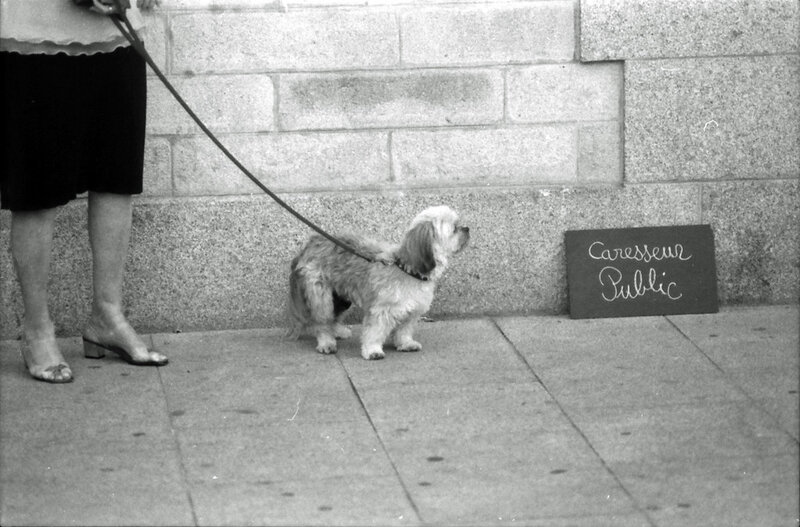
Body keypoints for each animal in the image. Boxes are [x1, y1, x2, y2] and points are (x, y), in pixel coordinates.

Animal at [290, 205, 468, 358]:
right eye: (454, 228)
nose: (467, 228)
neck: (407, 269)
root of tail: (311, 242)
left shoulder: (411, 311)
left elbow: (404, 330)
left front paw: (405, 343)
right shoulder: (381, 310)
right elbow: (374, 332)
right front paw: (372, 350)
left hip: (341, 298)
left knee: (334, 317)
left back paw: (338, 332)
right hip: (321, 296)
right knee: (322, 322)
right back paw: (326, 342)